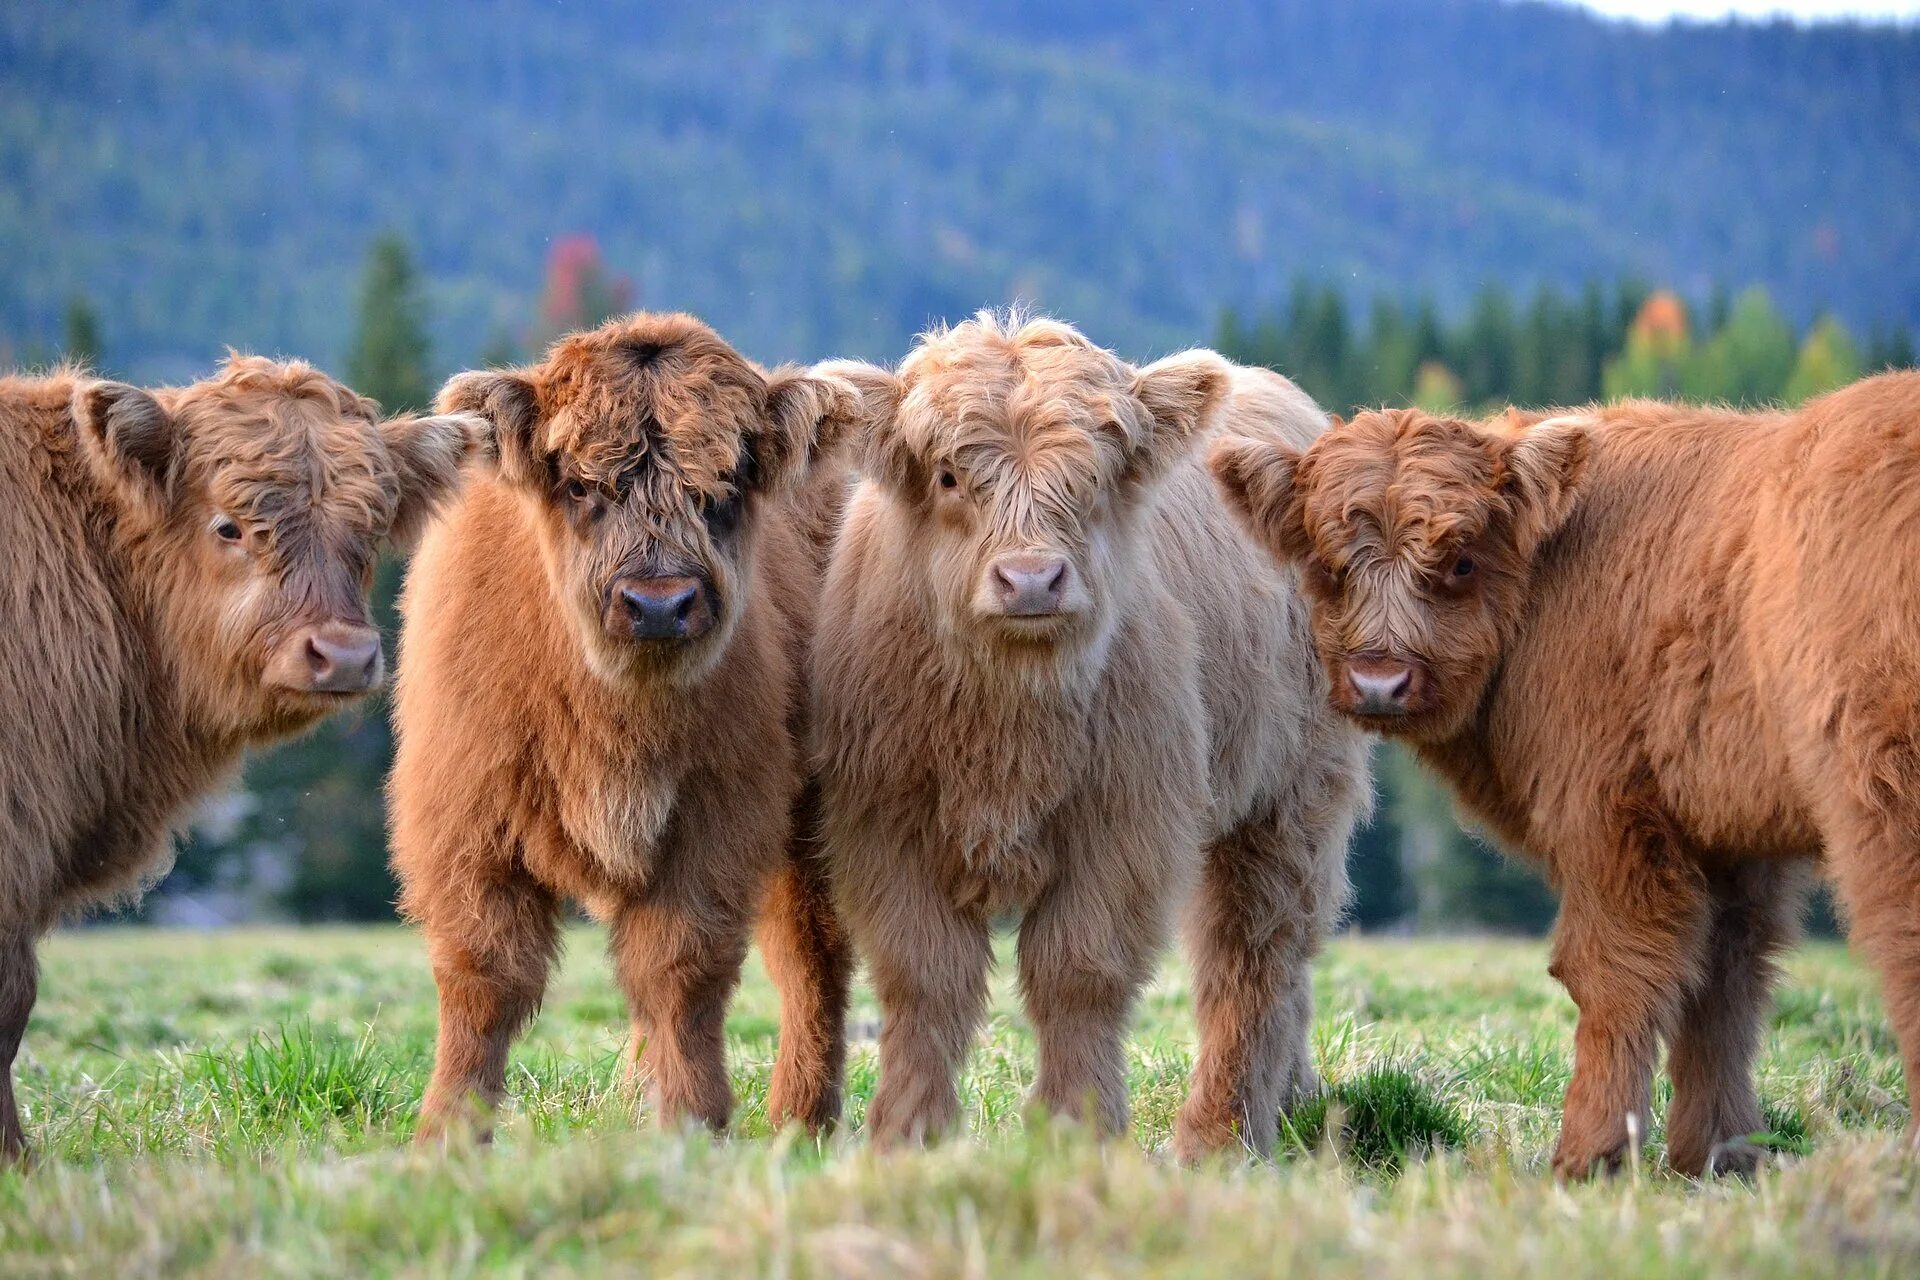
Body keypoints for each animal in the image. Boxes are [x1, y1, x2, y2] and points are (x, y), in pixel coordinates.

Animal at [393, 310, 860, 1143]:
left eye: (725, 486)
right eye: (582, 484)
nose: (658, 603)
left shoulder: (714, 821)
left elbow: (681, 972)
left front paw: (691, 1122)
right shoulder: (465, 822)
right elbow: (484, 978)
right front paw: (447, 1134)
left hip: (813, 824)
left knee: (812, 955)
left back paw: (801, 1120)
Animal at [817, 314, 1374, 1159]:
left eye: (1096, 480)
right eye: (948, 476)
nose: (1031, 579)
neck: (1009, 725)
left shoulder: (1123, 824)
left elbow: (1077, 972)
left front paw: (1075, 1130)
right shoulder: (884, 826)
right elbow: (926, 976)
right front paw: (909, 1134)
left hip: (1291, 794)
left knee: (1254, 954)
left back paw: (1221, 1135)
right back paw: (1292, 1102)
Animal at [1205, 370, 1920, 1182]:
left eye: (1461, 560)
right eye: (1329, 566)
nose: (1380, 681)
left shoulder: (1610, 814)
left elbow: (1612, 975)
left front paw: (1589, 1156)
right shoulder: (1728, 833)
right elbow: (1726, 989)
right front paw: (1717, 1155)